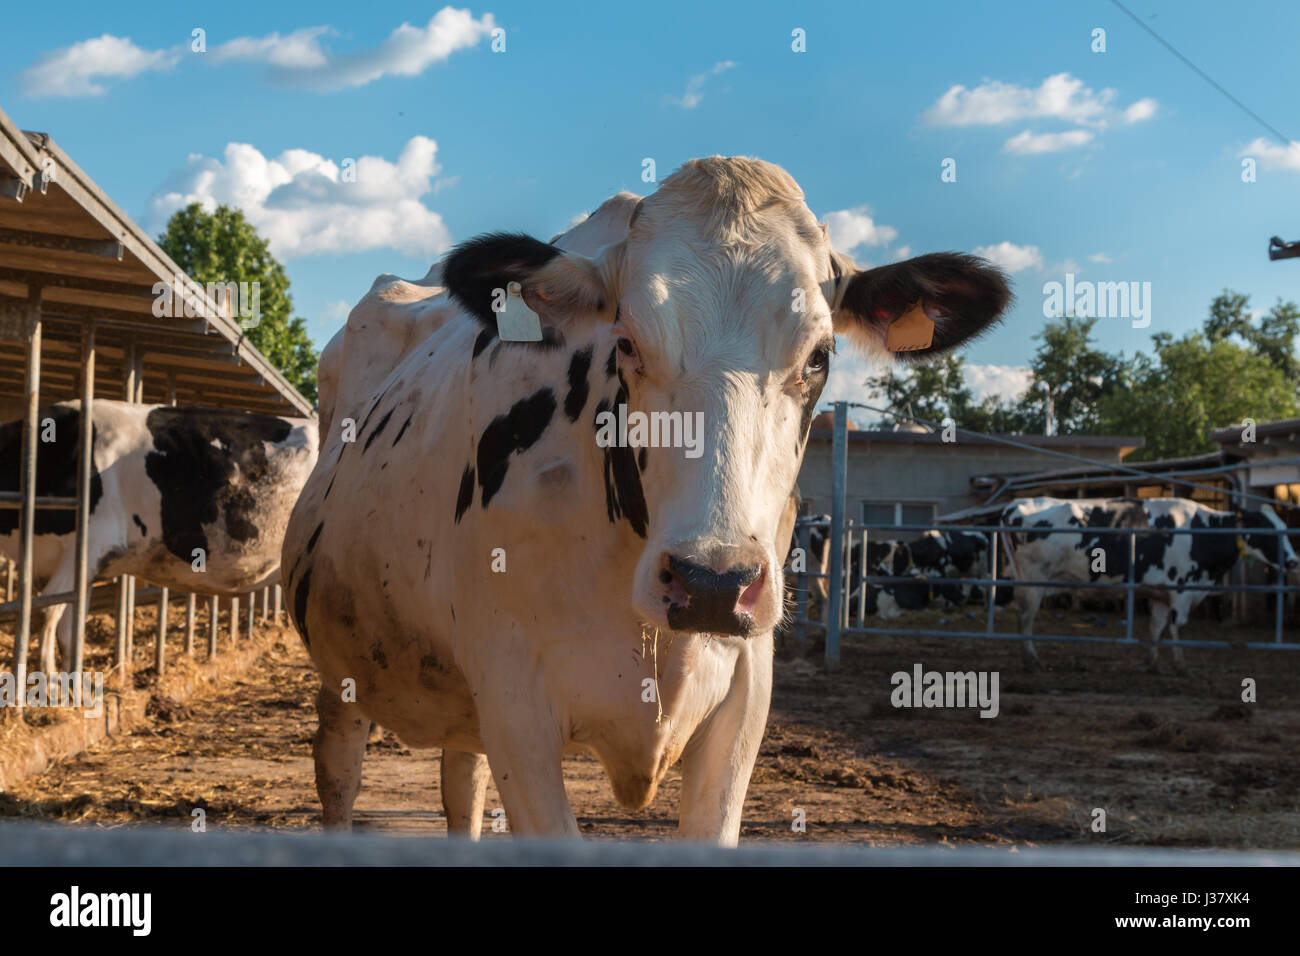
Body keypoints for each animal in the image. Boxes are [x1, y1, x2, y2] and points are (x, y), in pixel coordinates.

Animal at [0, 401, 317, 674]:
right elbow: (70, 625)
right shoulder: (82, 564)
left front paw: (48, 685)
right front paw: (70, 684)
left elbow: (48, 611)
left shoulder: (91, 544)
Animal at [282, 156, 1010, 843]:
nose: (712, 582)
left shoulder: (745, 693)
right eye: (627, 342)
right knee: (339, 768)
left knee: (462, 780)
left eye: (819, 356)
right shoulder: (516, 702)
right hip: (341, 664)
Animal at [1000, 496, 1298, 672]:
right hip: (1033, 580)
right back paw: (1032, 660)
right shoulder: (1181, 589)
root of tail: (1015, 505)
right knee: (1025, 619)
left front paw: (1152, 663)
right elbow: (1177, 628)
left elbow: (1157, 628)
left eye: (1285, 527)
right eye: (1267, 530)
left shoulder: (1160, 593)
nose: (1294, 561)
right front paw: (1180, 665)